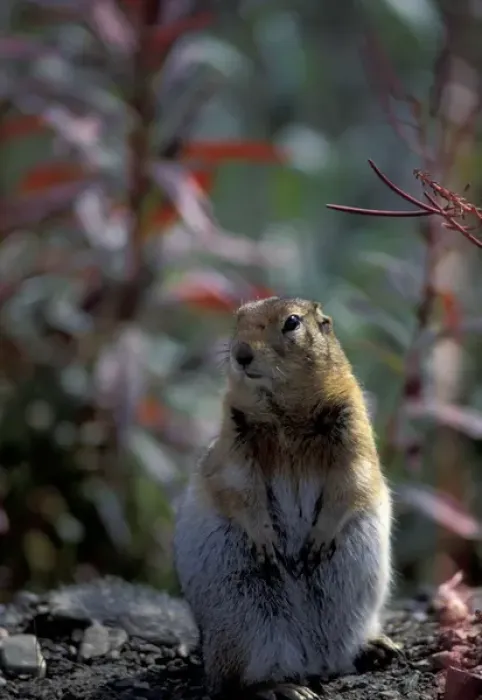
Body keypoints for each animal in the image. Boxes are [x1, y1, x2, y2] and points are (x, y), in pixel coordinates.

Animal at [173, 296, 398, 700]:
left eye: (292, 322)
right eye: (237, 319)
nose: (240, 353)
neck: (286, 410)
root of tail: (314, 662)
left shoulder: (353, 430)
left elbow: (351, 480)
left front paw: (318, 541)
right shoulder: (235, 442)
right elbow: (241, 489)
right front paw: (267, 541)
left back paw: (378, 648)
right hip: (246, 627)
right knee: (234, 684)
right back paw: (285, 688)